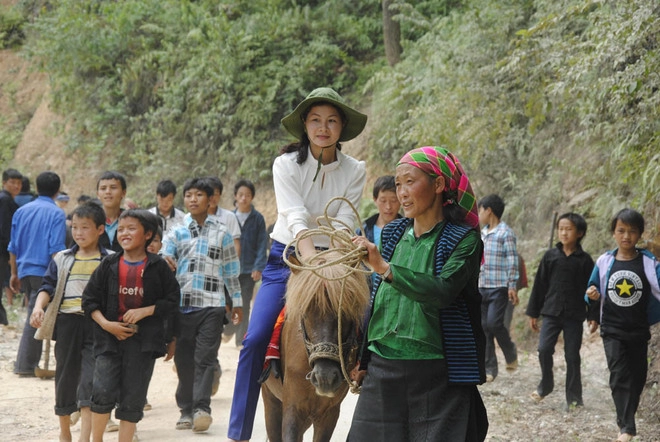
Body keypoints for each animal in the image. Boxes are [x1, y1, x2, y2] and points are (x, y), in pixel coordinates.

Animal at [260, 252, 372, 442]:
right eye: (305, 312)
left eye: (345, 313)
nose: (324, 377)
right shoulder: (292, 408)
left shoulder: (329, 413)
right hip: (271, 401)